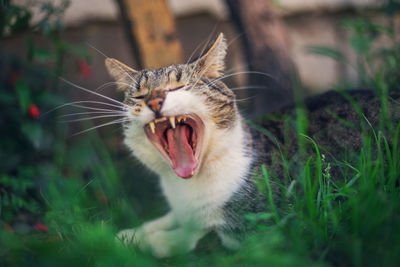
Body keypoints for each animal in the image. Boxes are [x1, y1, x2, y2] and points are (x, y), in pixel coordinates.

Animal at [105, 32, 400, 258]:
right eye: (139, 96)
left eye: (180, 87)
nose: (154, 101)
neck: (187, 188)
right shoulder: (181, 210)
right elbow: (166, 220)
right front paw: (129, 233)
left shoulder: (270, 225)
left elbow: (200, 238)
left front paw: (143, 243)